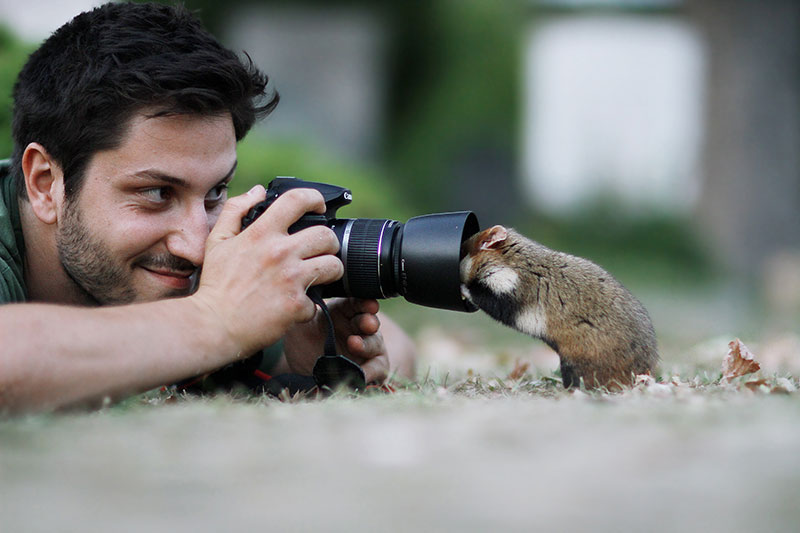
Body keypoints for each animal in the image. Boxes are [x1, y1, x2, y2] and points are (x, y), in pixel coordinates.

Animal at [460, 224, 660, 390]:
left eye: (462, 250)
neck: (511, 260)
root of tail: (645, 374)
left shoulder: (508, 290)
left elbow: (482, 296)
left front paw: (463, 288)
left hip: (575, 363)